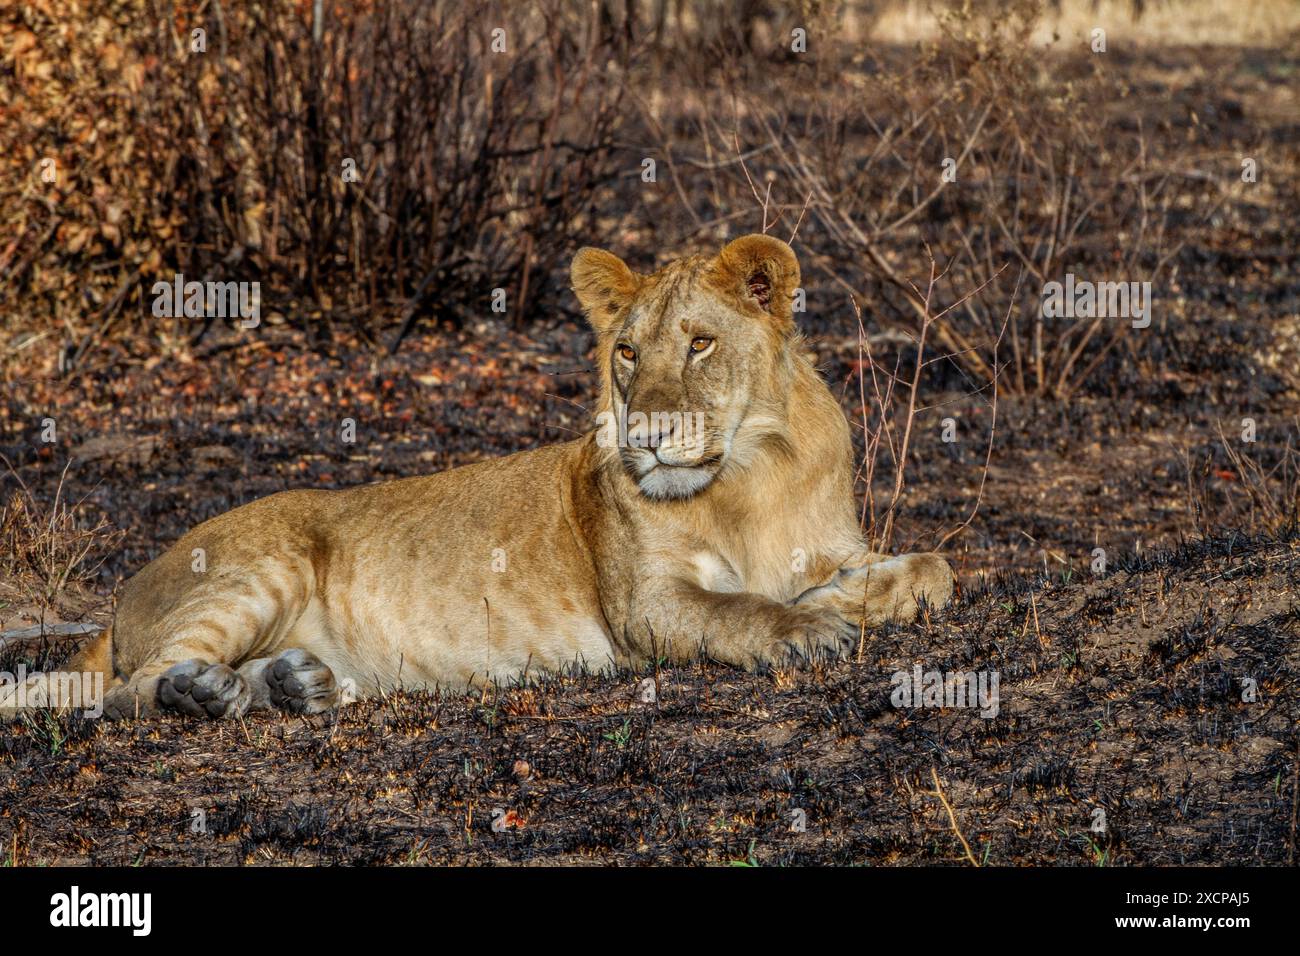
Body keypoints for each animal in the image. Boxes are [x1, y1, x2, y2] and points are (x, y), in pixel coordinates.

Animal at [1, 235, 953, 720]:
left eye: (700, 343)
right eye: (627, 353)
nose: (646, 437)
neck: (748, 476)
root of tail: (125, 592)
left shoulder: (833, 547)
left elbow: (931, 569)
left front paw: (841, 599)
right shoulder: (644, 606)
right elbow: (739, 611)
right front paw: (805, 628)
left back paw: (291, 685)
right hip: (254, 569)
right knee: (116, 694)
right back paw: (203, 692)